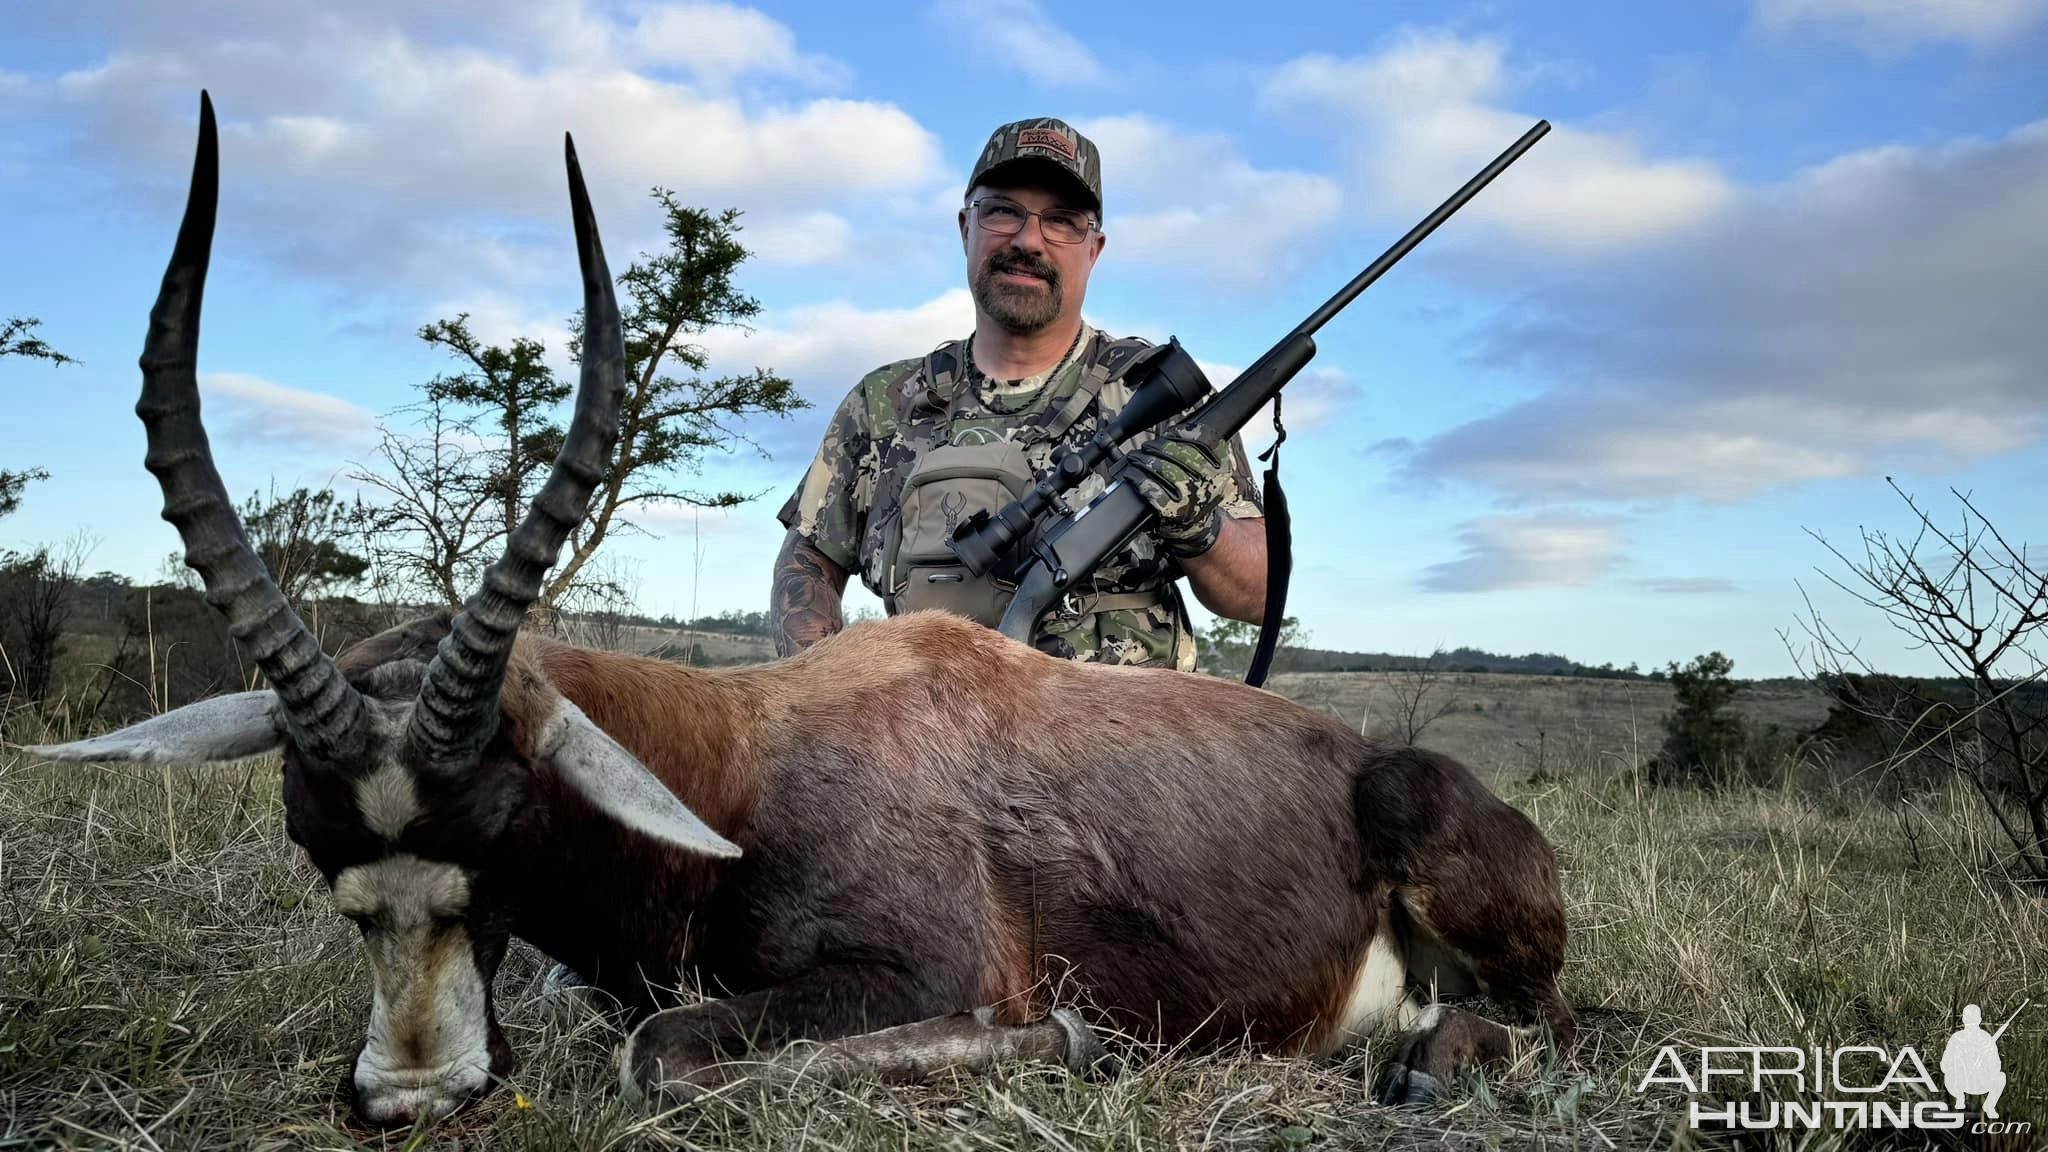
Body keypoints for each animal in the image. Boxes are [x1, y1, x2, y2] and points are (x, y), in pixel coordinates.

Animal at [24, 96, 1572, 1123]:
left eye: (505, 822)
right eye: (315, 842)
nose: (413, 1095)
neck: (740, 761)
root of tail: (1374, 762)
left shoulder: (916, 971)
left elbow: (661, 1049)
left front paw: (1073, 1045)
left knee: (1542, 1025)